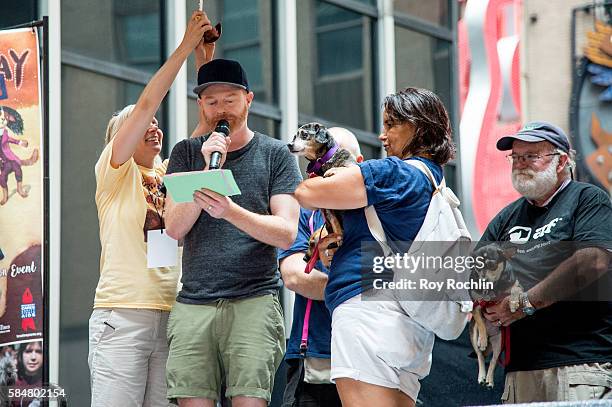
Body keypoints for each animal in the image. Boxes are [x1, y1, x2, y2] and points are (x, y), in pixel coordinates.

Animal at [468, 244, 520, 390]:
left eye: (492, 265)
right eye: (477, 265)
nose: (483, 280)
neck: (493, 288)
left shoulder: (515, 284)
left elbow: (515, 289)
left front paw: (514, 302)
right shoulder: (476, 305)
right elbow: (480, 321)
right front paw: (482, 339)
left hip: (499, 342)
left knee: (493, 361)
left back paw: (489, 380)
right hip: (473, 335)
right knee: (480, 356)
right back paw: (482, 376)